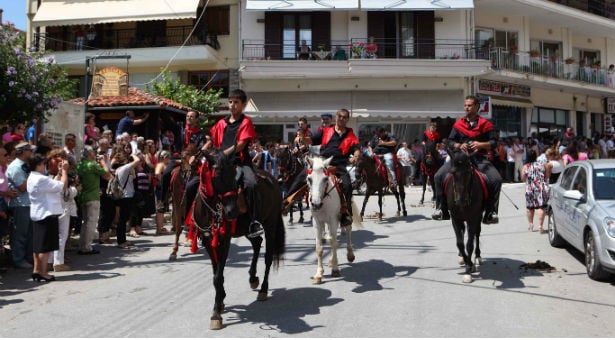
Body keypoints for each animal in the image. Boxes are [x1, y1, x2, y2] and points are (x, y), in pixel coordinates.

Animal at [442, 150, 486, 282]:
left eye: (468, 172)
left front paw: (469, 268)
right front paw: (467, 263)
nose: (461, 200)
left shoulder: (473, 218)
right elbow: (460, 243)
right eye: (452, 172)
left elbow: (469, 244)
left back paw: (477, 257)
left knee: (477, 234)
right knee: (462, 232)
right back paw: (462, 256)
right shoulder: (455, 218)